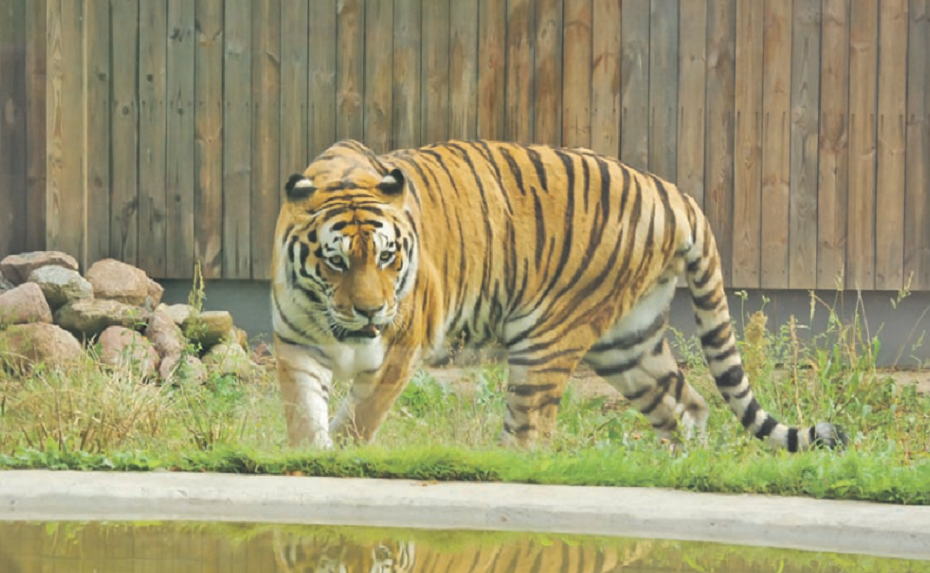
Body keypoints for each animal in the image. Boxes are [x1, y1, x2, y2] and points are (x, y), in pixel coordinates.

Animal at [268, 137, 840, 452]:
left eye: (387, 256)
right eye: (337, 261)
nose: (370, 310)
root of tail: (673, 192)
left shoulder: (400, 348)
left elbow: (359, 418)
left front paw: (341, 456)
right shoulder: (297, 345)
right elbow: (303, 413)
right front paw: (308, 458)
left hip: (545, 337)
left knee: (528, 434)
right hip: (626, 342)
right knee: (688, 405)